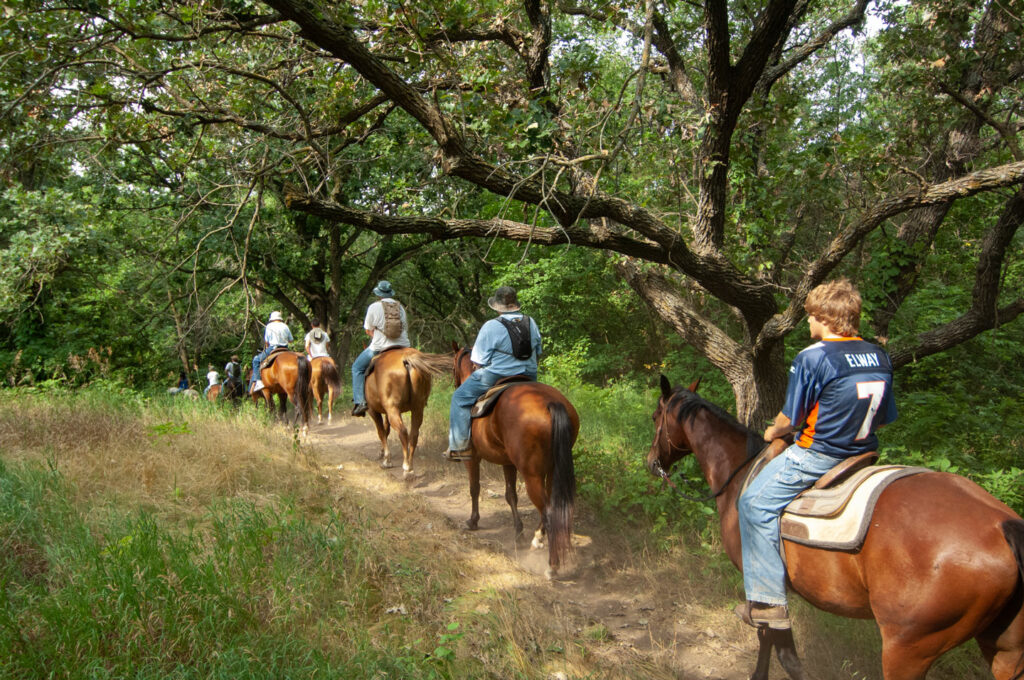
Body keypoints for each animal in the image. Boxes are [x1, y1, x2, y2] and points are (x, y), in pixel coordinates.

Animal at [454, 346, 581, 577]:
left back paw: (552, 567)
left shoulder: (473, 457)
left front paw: (473, 520)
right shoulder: (508, 463)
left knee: (549, 513)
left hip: (532, 474)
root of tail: (551, 403)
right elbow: (510, 495)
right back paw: (537, 540)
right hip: (551, 471)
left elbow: (474, 488)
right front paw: (518, 533)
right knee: (552, 507)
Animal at [647, 376, 1024, 680]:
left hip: (908, 648)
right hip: (1005, 650)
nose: (651, 462)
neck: (740, 471)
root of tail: (1002, 525)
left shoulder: (762, 584)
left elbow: (775, 643)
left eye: (655, 417)